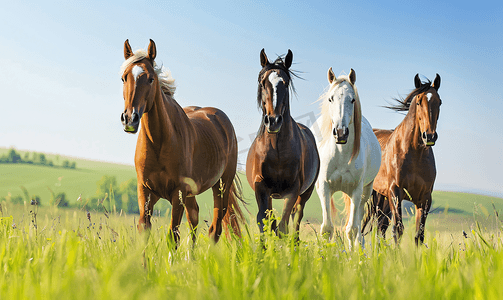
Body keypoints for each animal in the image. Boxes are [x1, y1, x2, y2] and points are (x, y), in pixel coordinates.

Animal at [118, 39, 244, 244]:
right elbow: (144, 230)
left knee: (214, 230)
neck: (159, 143)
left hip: (221, 187)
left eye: (151, 79)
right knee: (194, 219)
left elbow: (173, 236)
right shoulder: (145, 192)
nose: (130, 119)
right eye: (124, 78)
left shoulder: (178, 195)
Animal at [246, 48, 320, 237]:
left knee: (296, 218)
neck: (277, 150)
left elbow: (283, 226)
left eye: (285, 84)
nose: (273, 121)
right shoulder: (261, 187)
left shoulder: (293, 190)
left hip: (305, 194)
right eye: (263, 83)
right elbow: (264, 222)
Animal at [312, 67, 382, 248]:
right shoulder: (324, 188)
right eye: (330, 98)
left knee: (357, 222)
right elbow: (327, 228)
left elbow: (352, 229)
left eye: (352, 100)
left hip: (365, 192)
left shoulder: (357, 191)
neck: (341, 155)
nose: (341, 132)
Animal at [364, 73, 442, 246]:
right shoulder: (396, 192)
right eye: (419, 102)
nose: (429, 136)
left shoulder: (425, 199)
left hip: (382, 197)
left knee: (380, 226)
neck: (415, 155)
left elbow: (419, 235)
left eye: (439, 102)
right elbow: (398, 229)